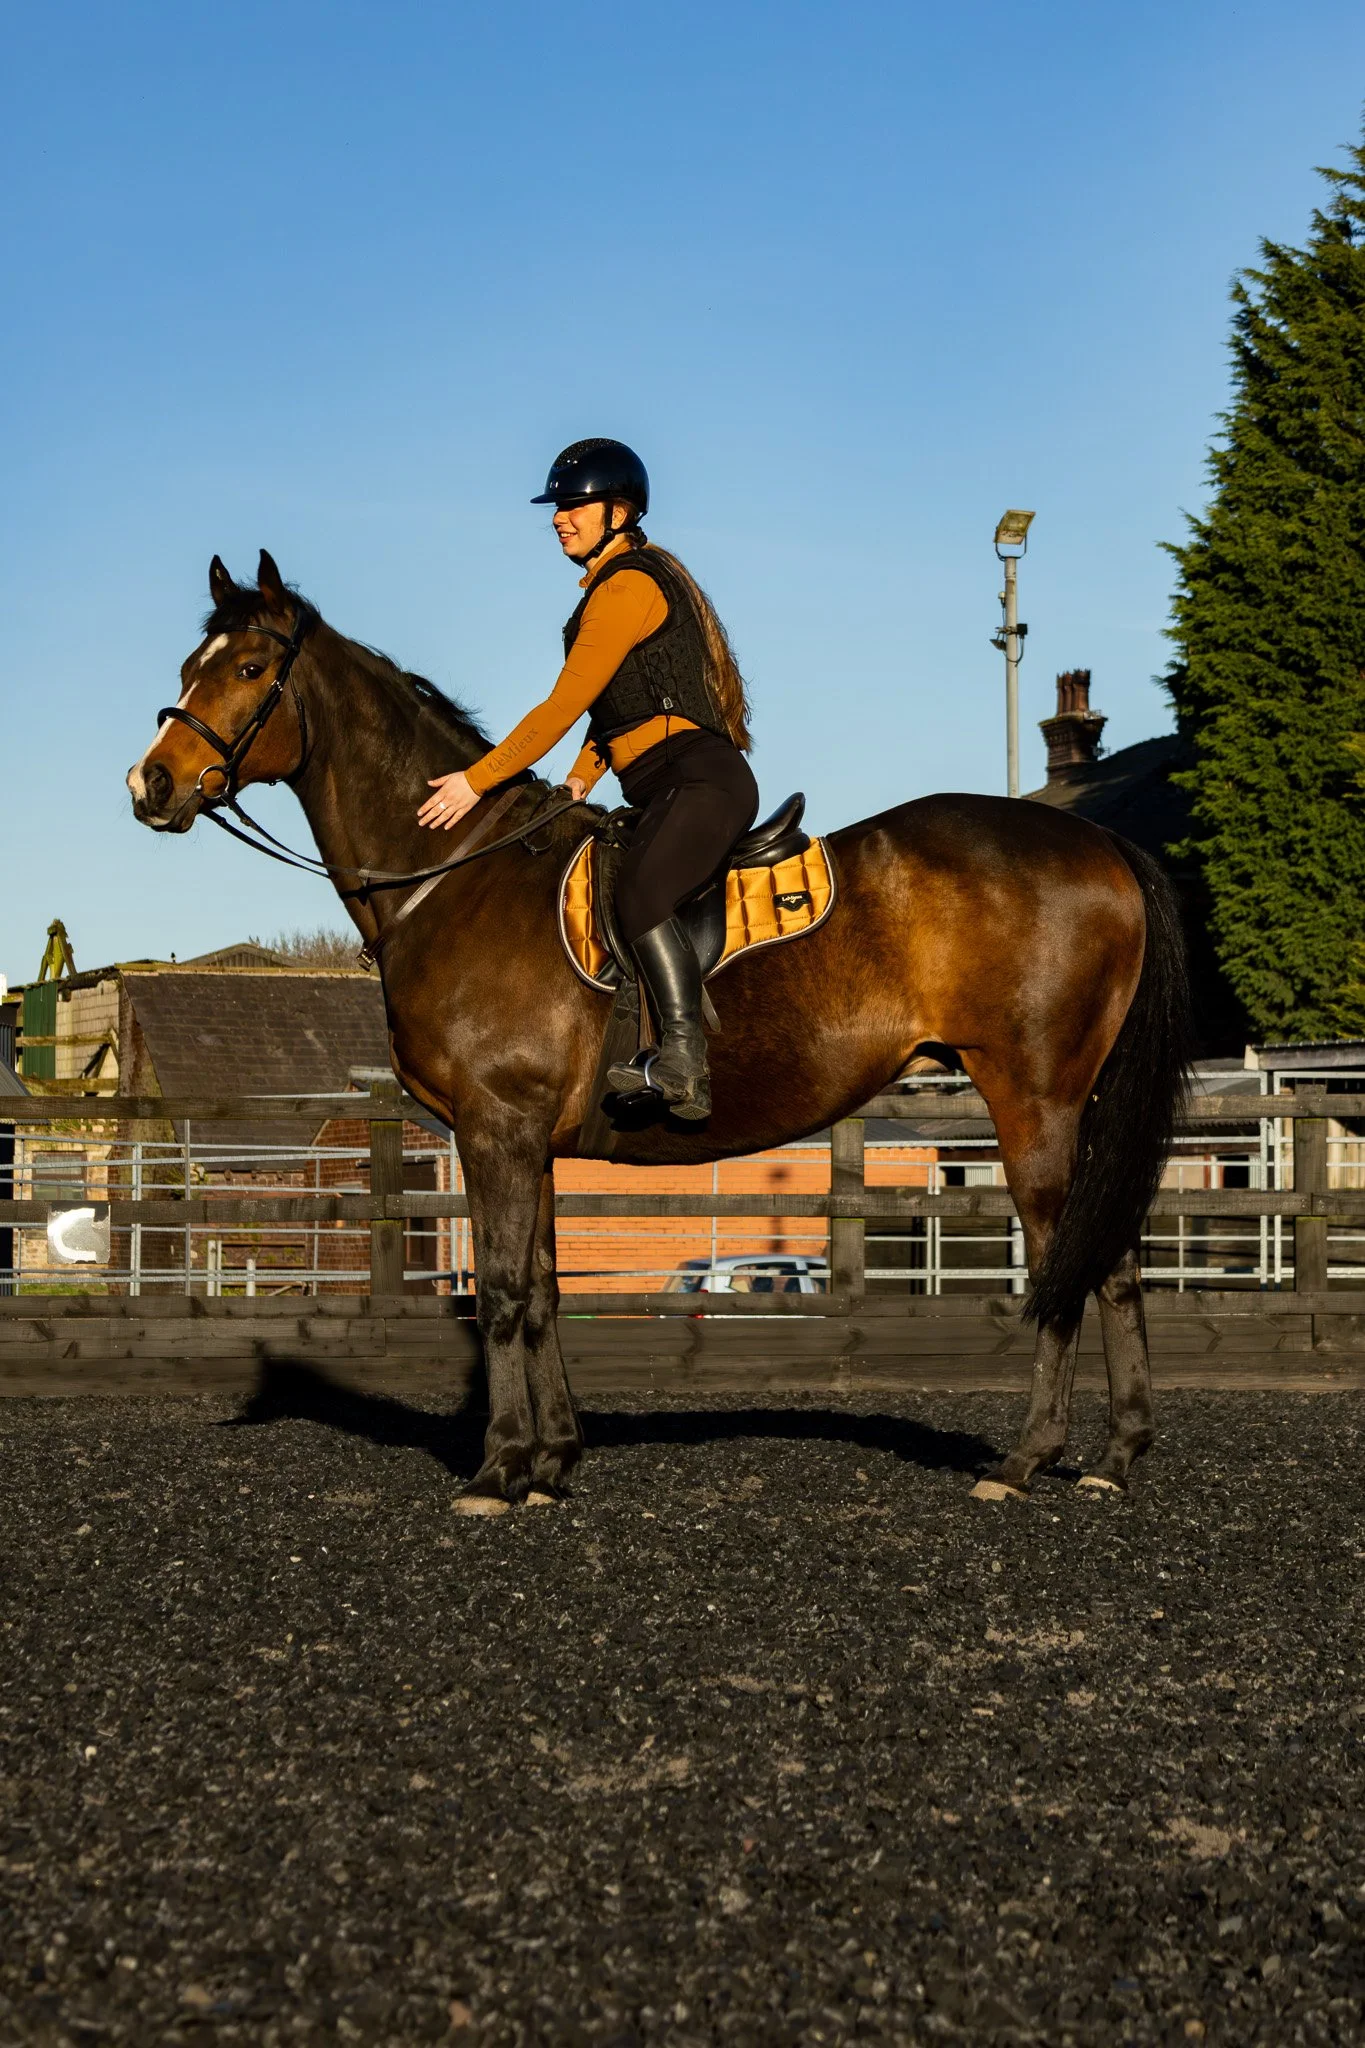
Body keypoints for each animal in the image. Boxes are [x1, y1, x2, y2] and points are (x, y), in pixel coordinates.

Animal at [127, 551, 1191, 1514]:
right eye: (186, 663)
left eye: (248, 669)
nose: (150, 784)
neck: (456, 871)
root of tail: (1098, 844)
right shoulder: (525, 1141)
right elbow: (543, 1289)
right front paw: (552, 1463)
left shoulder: (495, 1127)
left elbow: (502, 1294)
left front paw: (497, 1471)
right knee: (1111, 1257)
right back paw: (1116, 1455)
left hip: (1032, 1099)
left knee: (1063, 1258)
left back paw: (1026, 1459)